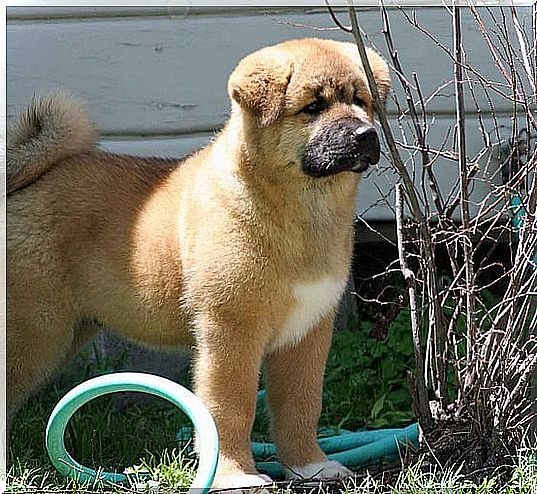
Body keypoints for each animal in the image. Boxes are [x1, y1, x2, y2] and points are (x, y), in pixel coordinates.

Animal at [6, 38, 388, 490]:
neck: (299, 208)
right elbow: (232, 408)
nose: (367, 135)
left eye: (361, 101)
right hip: (37, 330)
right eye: (313, 107)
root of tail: (29, 184)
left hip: (68, 332)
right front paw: (236, 475)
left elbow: (301, 405)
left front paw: (311, 465)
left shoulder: (307, 332)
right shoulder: (231, 331)